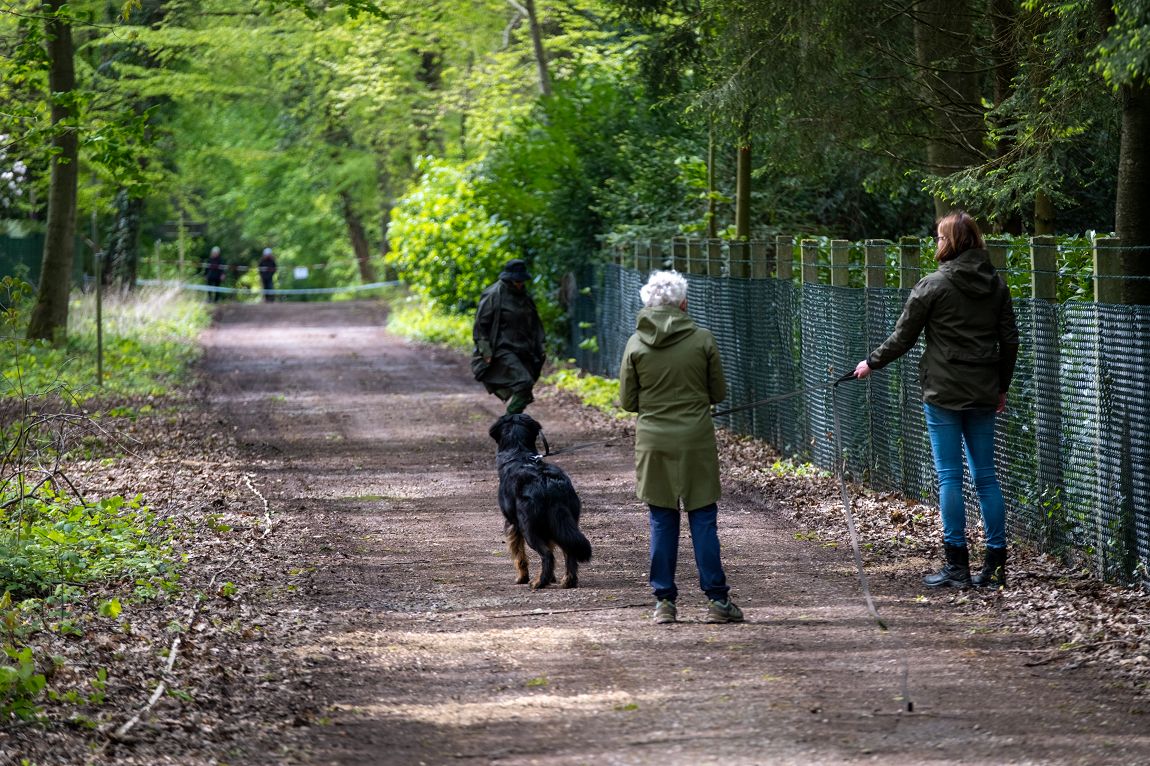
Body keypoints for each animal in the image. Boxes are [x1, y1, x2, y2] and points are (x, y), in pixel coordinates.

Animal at [487, 414, 593, 586]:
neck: (519, 453)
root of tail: (549, 483)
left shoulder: (512, 524)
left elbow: (519, 556)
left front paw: (522, 578)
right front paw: (552, 578)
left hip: (529, 527)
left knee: (547, 554)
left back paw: (539, 582)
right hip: (565, 523)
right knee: (569, 551)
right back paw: (567, 581)